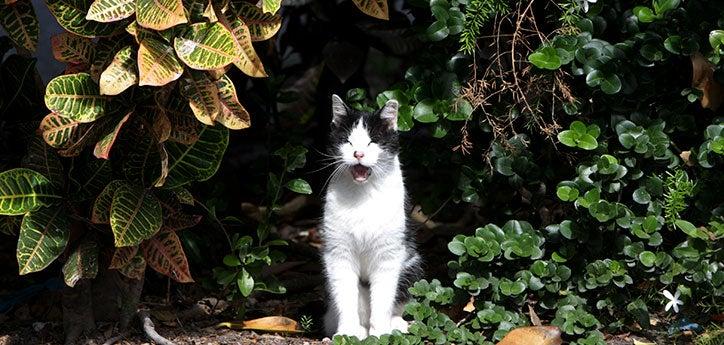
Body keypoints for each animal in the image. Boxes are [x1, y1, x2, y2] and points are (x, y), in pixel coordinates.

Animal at [320, 94, 422, 338]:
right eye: (348, 141)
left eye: (372, 142)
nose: (358, 153)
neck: (363, 195)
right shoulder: (338, 255)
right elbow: (345, 297)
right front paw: (346, 333)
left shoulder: (389, 255)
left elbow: (383, 299)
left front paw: (380, 334)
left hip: (411, 265)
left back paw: (394, 325)